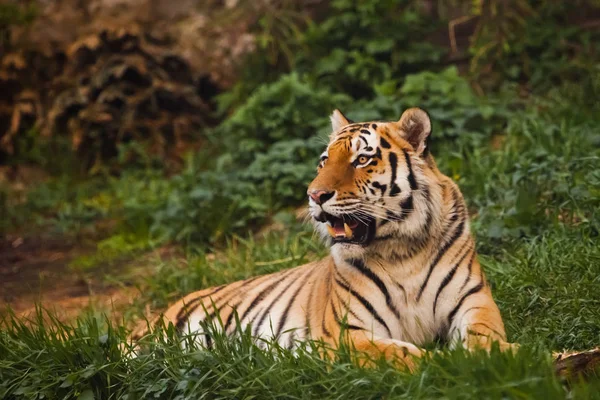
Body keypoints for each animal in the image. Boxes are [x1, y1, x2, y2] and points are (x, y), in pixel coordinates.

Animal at [130, 107, 510, 368]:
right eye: (324, 161)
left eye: (362, 159)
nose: (314, 195)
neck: (402, 250)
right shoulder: (348, 332)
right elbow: (404, 355)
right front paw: (447, 363)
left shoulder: (474, 301)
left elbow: (487, 338)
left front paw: (515, 356)